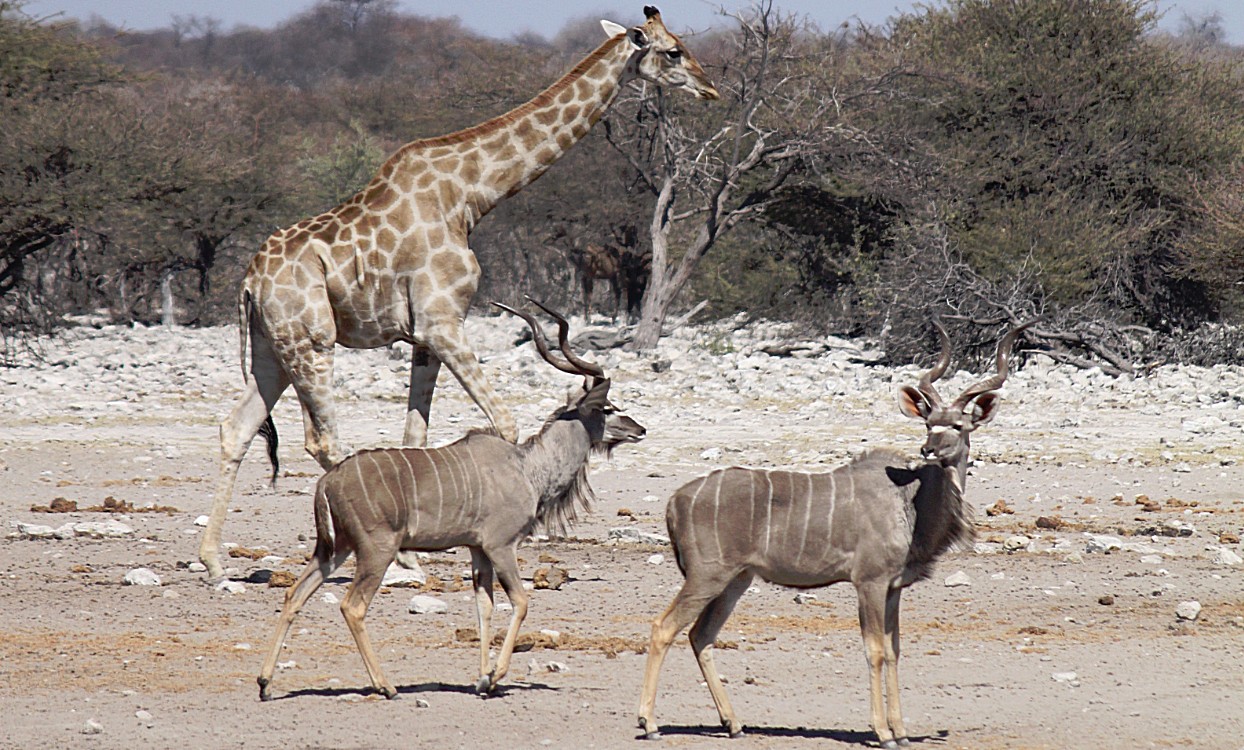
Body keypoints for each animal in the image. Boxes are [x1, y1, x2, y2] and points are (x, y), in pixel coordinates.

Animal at [196, 5, 721, 577]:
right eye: (673, 51)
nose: (711, 87)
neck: (471, 193)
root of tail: (250, 281)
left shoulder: (423, 336)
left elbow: (415, 435)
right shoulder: (444, 322)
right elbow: (504, 422)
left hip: (271, 350)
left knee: (235, 427)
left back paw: (213, 560)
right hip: (311, 343)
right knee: (322, 438)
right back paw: (384, 558)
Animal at [251, 300, 641, 706]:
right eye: (607, 408)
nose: (639, 429)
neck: (529, 467)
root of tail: (327, 482)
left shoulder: (477, 549)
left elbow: (484, 604)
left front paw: (482, 680)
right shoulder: (501, 545)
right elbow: (520, 601)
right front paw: (495, 676)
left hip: (334, 548)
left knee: (295, 593)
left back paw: (265, 683)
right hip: (376, 549)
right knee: (352, 606)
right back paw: (385, 686)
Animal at [636, 320, 1025, 746]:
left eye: (957, 425)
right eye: (927, 423)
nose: (929, 449)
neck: (909, 501)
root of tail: (676, 500)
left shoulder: (892, 588)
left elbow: (894, 650)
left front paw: (902, 732)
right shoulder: (868, 582)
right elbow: (874, 650)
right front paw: (883, 733)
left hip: (736, 580)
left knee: (700, 635)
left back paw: (734, 724)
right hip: (707, 576)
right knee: (662, 628)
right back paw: (649, 723)